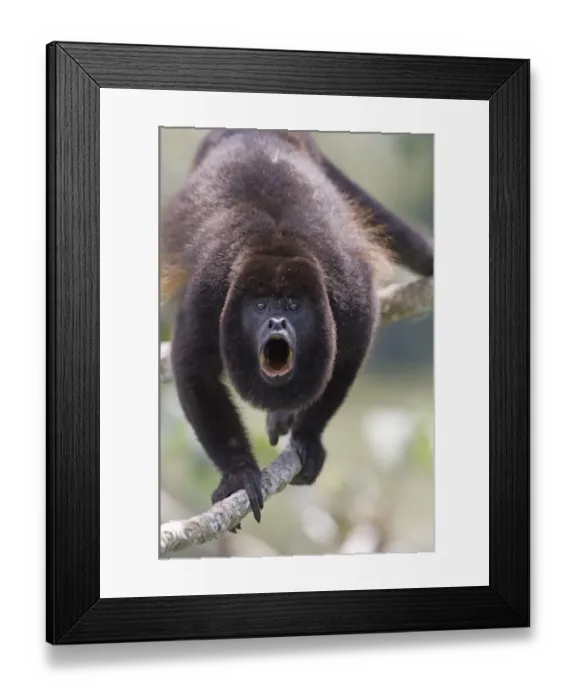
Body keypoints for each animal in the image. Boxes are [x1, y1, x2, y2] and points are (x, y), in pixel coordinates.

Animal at [160, 129, 433, 528]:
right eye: (260, 305)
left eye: (292, 304)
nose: (277, 320)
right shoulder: (209, 290)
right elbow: (196, 371)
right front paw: (238, 473)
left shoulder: (344, 286)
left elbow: (349, 352)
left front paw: (307, 435)